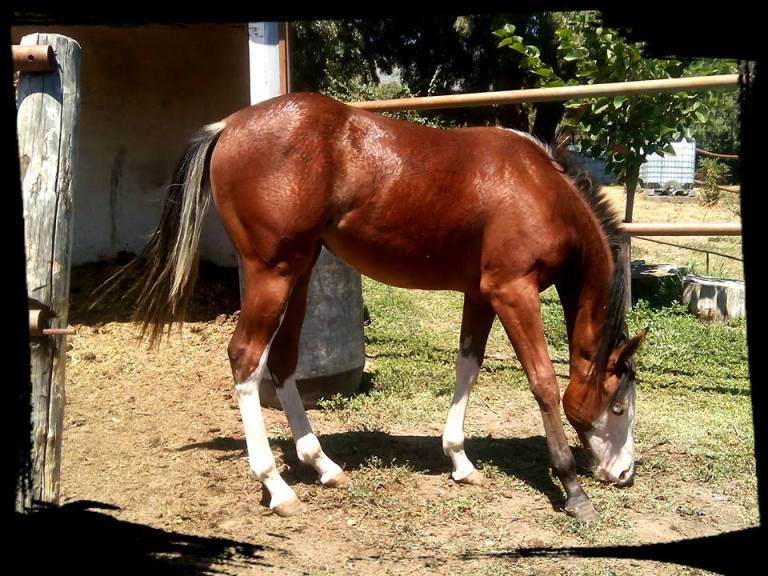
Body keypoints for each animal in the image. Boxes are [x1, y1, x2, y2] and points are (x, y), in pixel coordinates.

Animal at [121, 92, 646, 522]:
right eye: (619, 406)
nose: (624, 475)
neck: (539, 188)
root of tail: (228, 125)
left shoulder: (481, 294)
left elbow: (468, 366)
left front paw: (460, 461)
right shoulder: (513, 292)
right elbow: (543, 383)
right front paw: (573, 489)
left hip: (298, 272)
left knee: (283, 360)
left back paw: (323, 465)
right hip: (272, 274)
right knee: (246, 357)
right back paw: (276, 486)